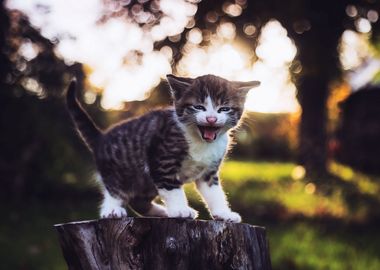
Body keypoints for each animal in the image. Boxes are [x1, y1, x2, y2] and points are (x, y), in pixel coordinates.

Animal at [67, 75, 260, 223]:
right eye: (198, 107)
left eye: (224, 109)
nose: (211, 119)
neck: (201, 142)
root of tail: (101, 138)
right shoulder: (161, 159)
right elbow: (171, 187)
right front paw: (180, 209)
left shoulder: (209, 171)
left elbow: (215, 193)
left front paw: (223, 213)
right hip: (119, 170)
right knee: (114, 189)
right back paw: (112, 210)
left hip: (145, 182)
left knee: (139, 202)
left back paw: (162, 212)